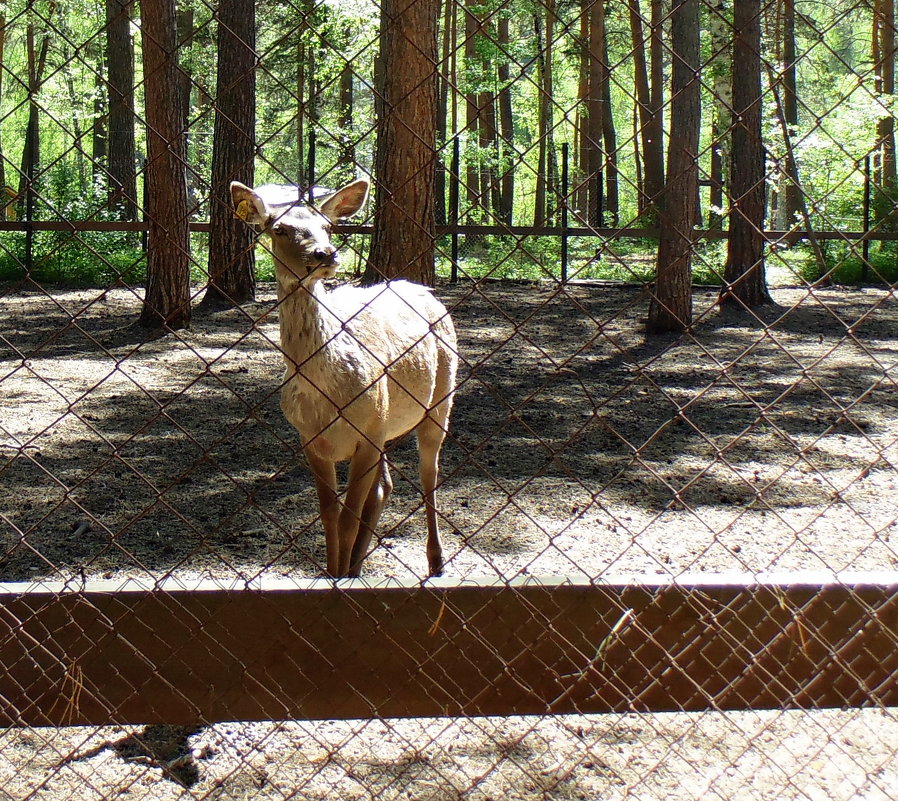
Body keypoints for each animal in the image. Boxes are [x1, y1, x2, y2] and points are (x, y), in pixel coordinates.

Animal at [231, 177, 456, 576]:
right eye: (279, 229)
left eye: (327, 225)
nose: (325, 254)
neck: (327, 395)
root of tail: (422, 288)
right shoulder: (310, 439)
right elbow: (329, 517)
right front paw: (334, 573)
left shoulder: (368, 433)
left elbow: (348, 518)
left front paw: (340, 579)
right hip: (387, 424)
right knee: (384, 488)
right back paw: (356, 566)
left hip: (441, 396)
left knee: (428, 473)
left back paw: (436, 561)